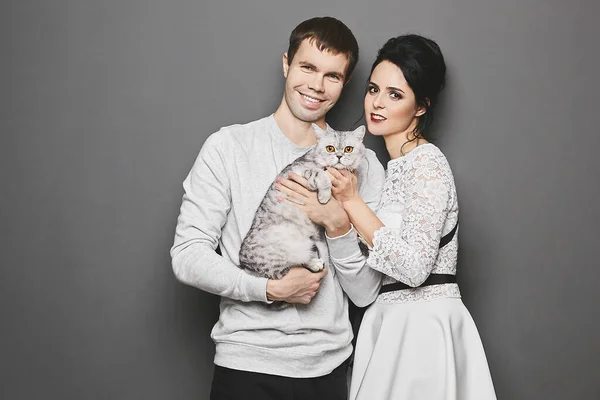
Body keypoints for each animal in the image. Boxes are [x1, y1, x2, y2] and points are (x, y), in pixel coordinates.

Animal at [239, 123, 366, 280]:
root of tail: (244, 263)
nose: (339, 156)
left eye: (348, 149)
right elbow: (322, 174)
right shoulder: (301, 172)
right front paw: (324, 196)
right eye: (330, 148)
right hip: (285, 252)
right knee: (288, 267)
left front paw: (361, 238)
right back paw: (315, 263)